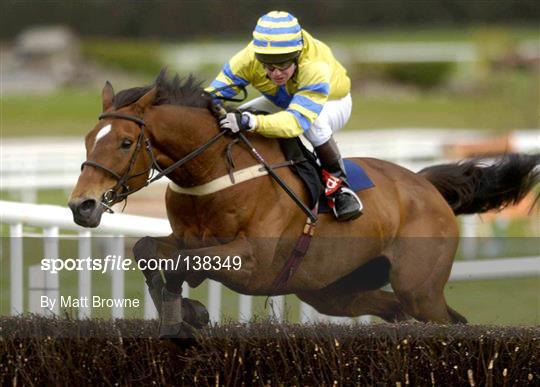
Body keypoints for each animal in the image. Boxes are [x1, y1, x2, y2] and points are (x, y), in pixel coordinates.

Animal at [69, 71, 536, 338]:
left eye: (125, 142)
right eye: (89, 140)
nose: (81, 205)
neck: (217, 175)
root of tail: (425, 185)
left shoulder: (253, 262)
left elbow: (184, 263)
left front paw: (191, 310)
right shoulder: (188, 237)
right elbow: (148, 249)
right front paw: (187, 311)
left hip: (420, 287)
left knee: (445, 320)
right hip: (333, 290)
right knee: (397, 310)